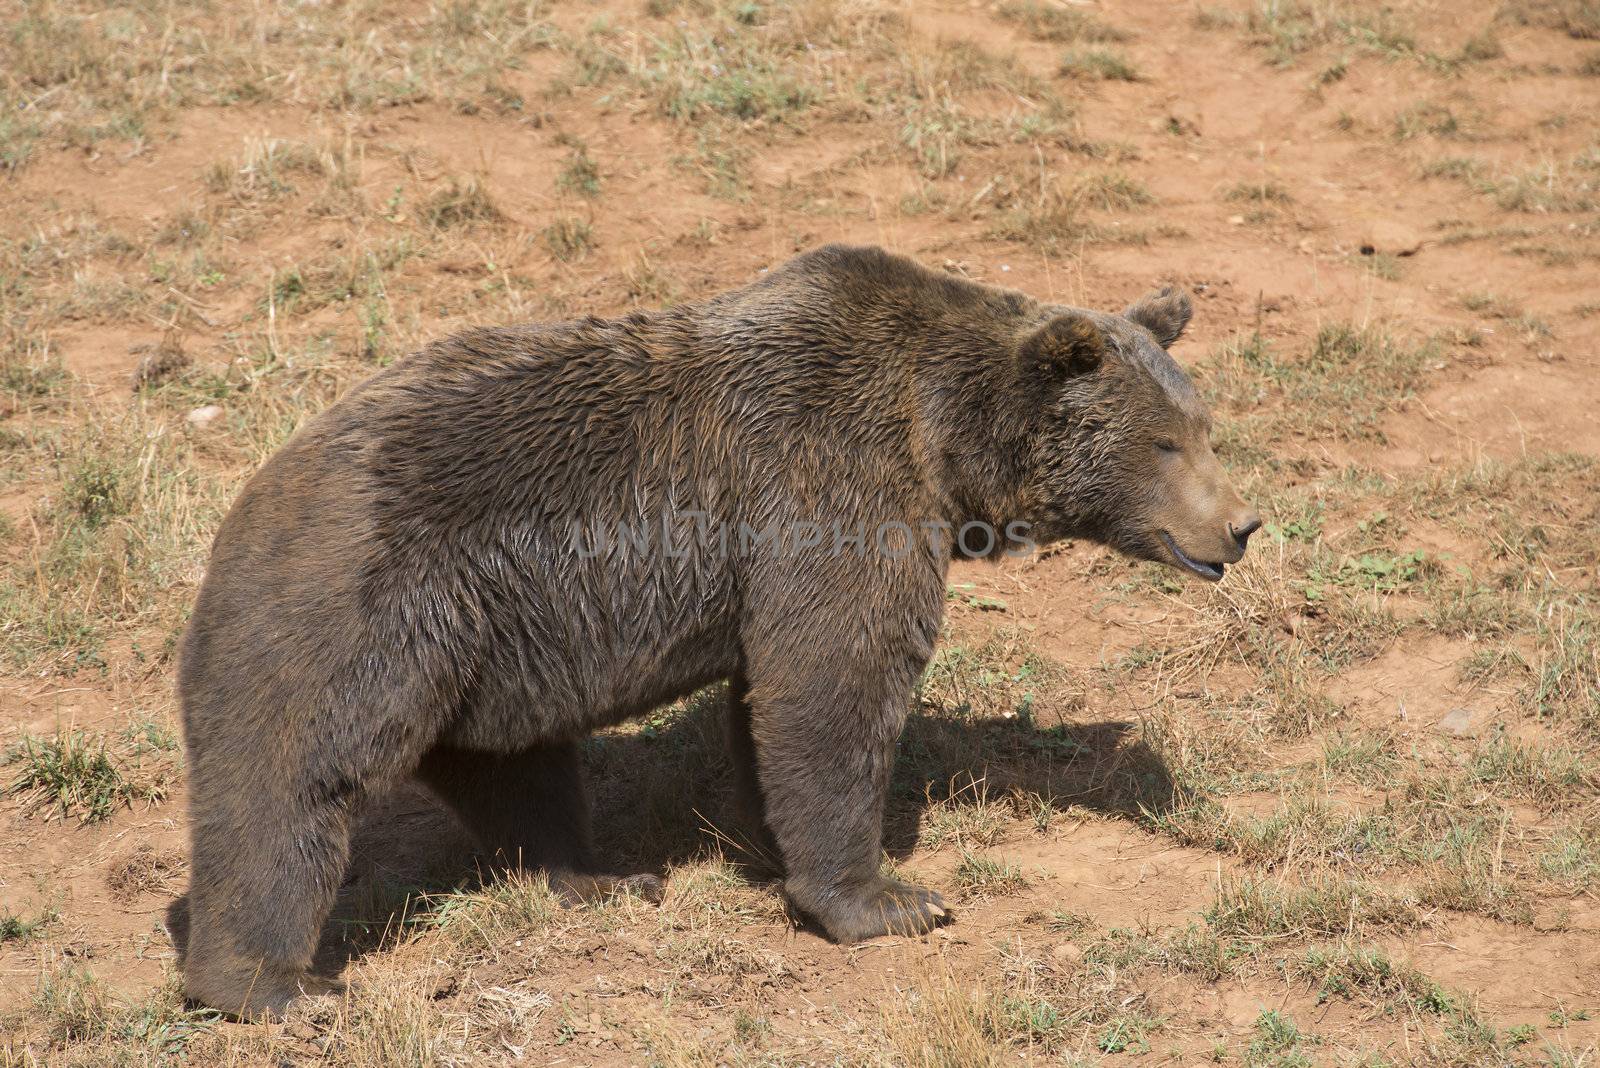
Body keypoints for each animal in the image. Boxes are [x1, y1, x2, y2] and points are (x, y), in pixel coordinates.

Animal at [175, 244, 1260, 1016]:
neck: (943, 439)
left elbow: (769, 707)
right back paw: (275, 986)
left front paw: (777, 850)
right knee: (292, 781)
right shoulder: (832, 491)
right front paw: (890, 899)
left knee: (514, 766)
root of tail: (239, 513)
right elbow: (833, 685)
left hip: (495, 644)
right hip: (367, 607)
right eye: (1163, 442)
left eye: (1205, 427)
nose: (1241, 526)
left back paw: (602, 877)